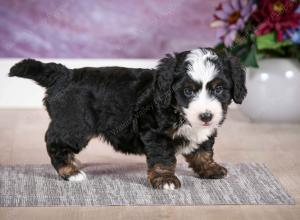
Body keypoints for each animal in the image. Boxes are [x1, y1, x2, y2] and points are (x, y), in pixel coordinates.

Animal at [8, 47, 246, 189]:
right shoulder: (156, 133)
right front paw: (165, 179)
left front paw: (210, 169)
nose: (206, 115)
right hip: (75, 125)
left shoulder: (204, 132)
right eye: (188, 91)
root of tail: (64, 74)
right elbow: (163, 158)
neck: (177, 108)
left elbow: (203, 150)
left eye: (219, 89)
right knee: (54, 142)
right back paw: (70, 171)